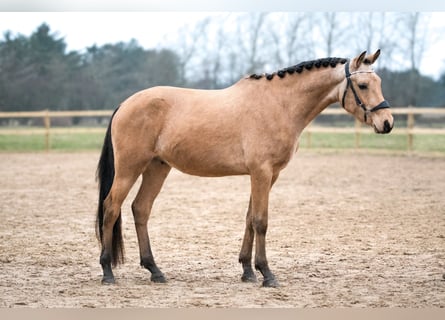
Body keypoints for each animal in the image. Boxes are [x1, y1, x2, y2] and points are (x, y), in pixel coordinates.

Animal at [96, 50, 392, 288]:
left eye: (378, 82)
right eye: (363, 85)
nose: (387, 122)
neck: (280, 104)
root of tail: (125, 104)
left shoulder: (269, 175)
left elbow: (250, 218)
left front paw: (248, 271)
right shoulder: (261, 172)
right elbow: (261, 221)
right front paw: (267, 274)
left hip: (157, 168)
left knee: (140, 209)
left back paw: (155, 271)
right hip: (129, 168)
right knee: (111, 208)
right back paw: (108, 271)